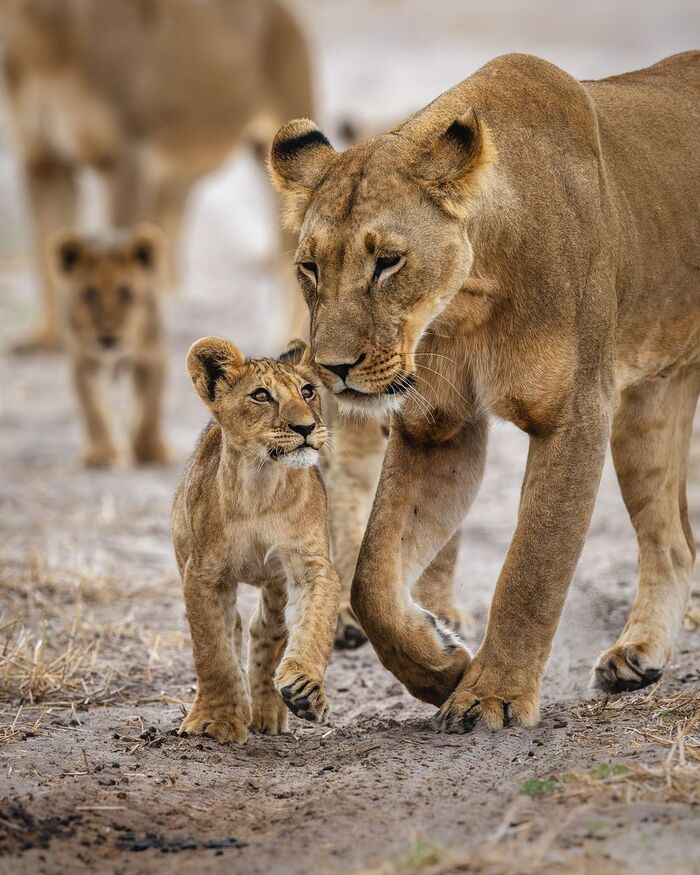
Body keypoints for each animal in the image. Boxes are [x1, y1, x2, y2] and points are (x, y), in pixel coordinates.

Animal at [0, 0, 312, 350]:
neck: (37, 33)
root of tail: (282, 12)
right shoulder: (44, 165)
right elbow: (47, 258)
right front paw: (48, 338)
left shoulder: (126, 159)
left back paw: (284, 341)